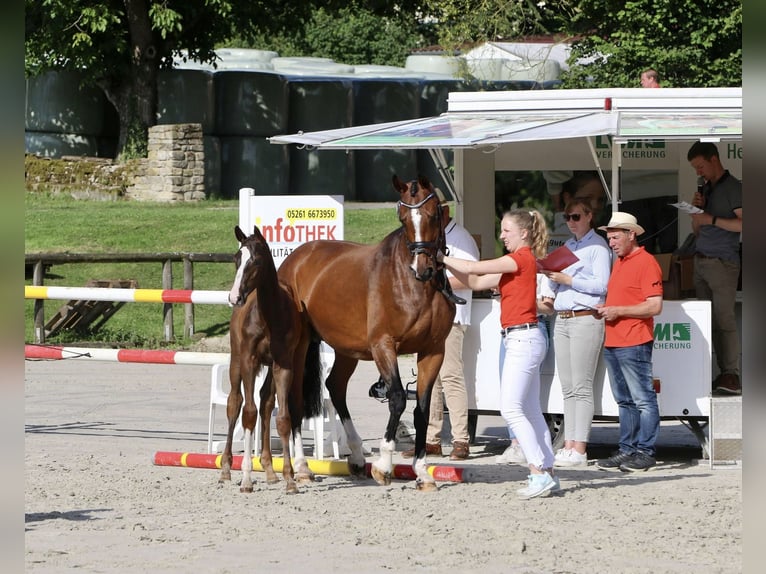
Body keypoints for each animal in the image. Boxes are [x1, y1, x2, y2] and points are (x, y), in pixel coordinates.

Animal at [219, 225, 324, 496]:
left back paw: (269, 469)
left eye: (255, 261)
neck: (269, 315)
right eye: (236, 258)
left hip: (284, 363)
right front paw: (246, 478)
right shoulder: (248, 361)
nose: (234, 296)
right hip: (236, 361)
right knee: (234, 403)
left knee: (267, 401)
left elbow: (284, 417)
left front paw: (289, 478)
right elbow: (248, 413)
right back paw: (226, 469)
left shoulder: (283, 364)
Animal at [280, 173, 456, 492]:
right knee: (295, 397)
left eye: (433, 214)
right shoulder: (383, 346)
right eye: (402, 218)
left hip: (346, 349)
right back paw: (301, 467)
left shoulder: (433, 350)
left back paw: (358, 456)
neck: (412, 285)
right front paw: (384, 465)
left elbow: (422, 408)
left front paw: (422, 472)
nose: (422, 267)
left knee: (335, 386)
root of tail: (295, 259)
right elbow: (398, 398)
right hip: (299, 346)